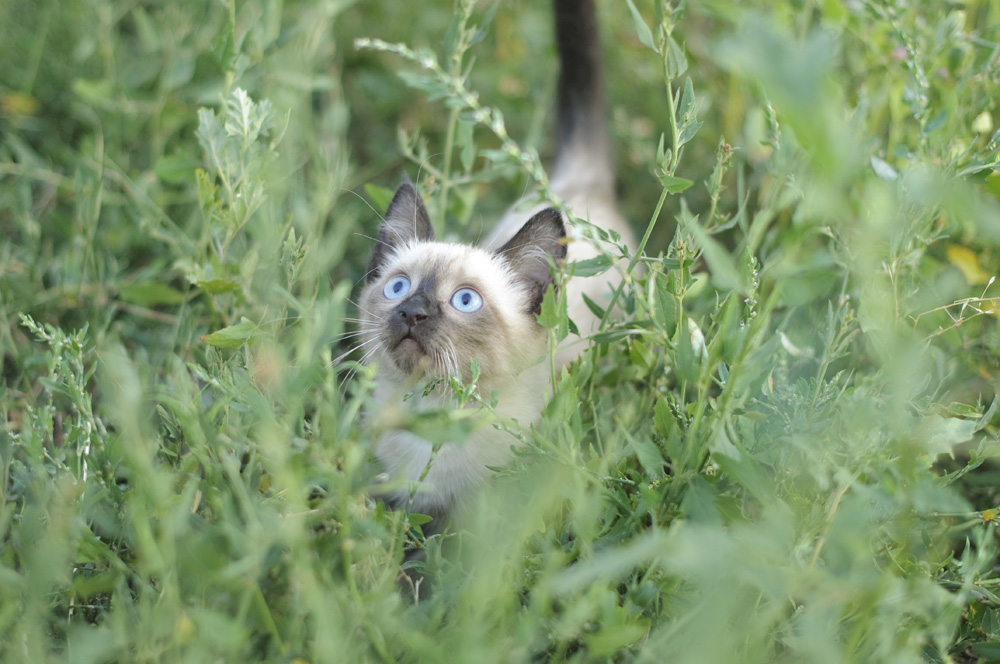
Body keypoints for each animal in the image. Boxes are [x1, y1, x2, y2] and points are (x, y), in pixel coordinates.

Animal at [358, 0, 632, 528]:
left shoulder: (475, 523)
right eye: (399, 288)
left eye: (466, 300)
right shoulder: (394, 504)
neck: (432, 423)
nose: (412, 312)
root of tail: (580, 186)